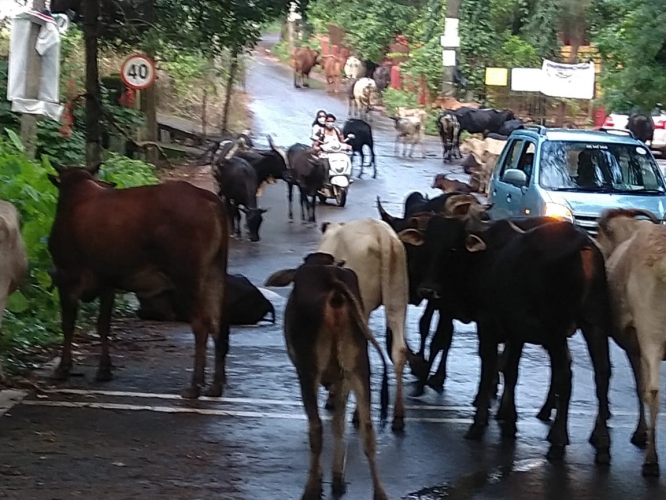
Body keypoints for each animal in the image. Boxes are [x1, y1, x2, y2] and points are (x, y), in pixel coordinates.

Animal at [46, 164, 228, 398]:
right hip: (214, 272)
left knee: (201, 324)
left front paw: (63, 368)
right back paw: (216, 385)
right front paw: (104, 370)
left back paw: (194, 385)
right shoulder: (107, 282)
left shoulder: (67, 276)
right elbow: (103, 325)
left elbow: (68, 324)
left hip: (186, 277)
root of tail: (210, 199)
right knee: (217, 322)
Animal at [264, 254, 390, 500]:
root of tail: (331, 279)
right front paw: (338, 478)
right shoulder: (342, 380)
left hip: (308, 370)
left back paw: (311, 487)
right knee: (368, 430)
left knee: (316, 428)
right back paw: (379, 492)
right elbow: (338, 424)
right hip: (358, 366)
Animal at [316, 219, 410, 434]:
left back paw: (358, 414)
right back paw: (398, 417)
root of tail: (381, 233)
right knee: (399, 350)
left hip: (361, 303)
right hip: (398, 297)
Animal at [396, 219, 608, 464]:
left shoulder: (488, 323)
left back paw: (558, 441)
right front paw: (509, 421)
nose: (428, 290)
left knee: (564, 376)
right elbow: (510, 371)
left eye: (452, 249)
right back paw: (601, 442)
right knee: (602, 374)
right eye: (427, 247)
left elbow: (488, 367)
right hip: (595, 322)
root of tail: (582, 242)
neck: (481, 260)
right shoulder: (515, 330)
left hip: (555, 330)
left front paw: (479, 423)